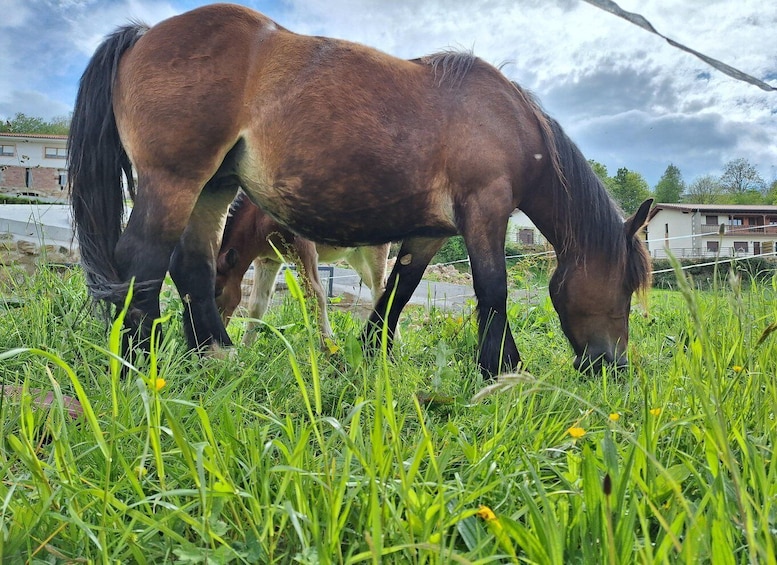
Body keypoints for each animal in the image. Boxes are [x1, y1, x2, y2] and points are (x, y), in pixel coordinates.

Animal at [217, 192, 388, 346]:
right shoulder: (267, 260)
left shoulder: (304, 248)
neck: (259, 218)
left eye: (218, 292)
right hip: (355, 255)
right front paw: (244, 349)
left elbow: (317, 294)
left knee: (379, 290)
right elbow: (257, 304)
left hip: (375, 249)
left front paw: (330, 349)